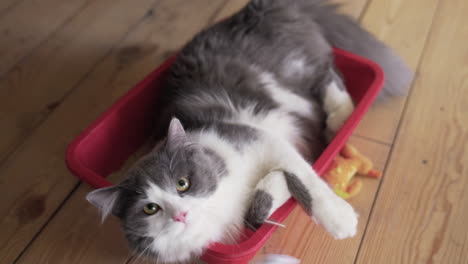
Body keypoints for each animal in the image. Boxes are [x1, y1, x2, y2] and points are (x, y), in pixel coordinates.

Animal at [86, 0, 412, 262]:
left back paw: (339, 120)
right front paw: (274, 185)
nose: (180, 214)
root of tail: (258, 5)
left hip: (294, 71)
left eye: (182, 184)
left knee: (330, 74)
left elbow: (308, 181)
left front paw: (340, 219)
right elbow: (259, 212)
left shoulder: (264, 140)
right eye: (150, 209)